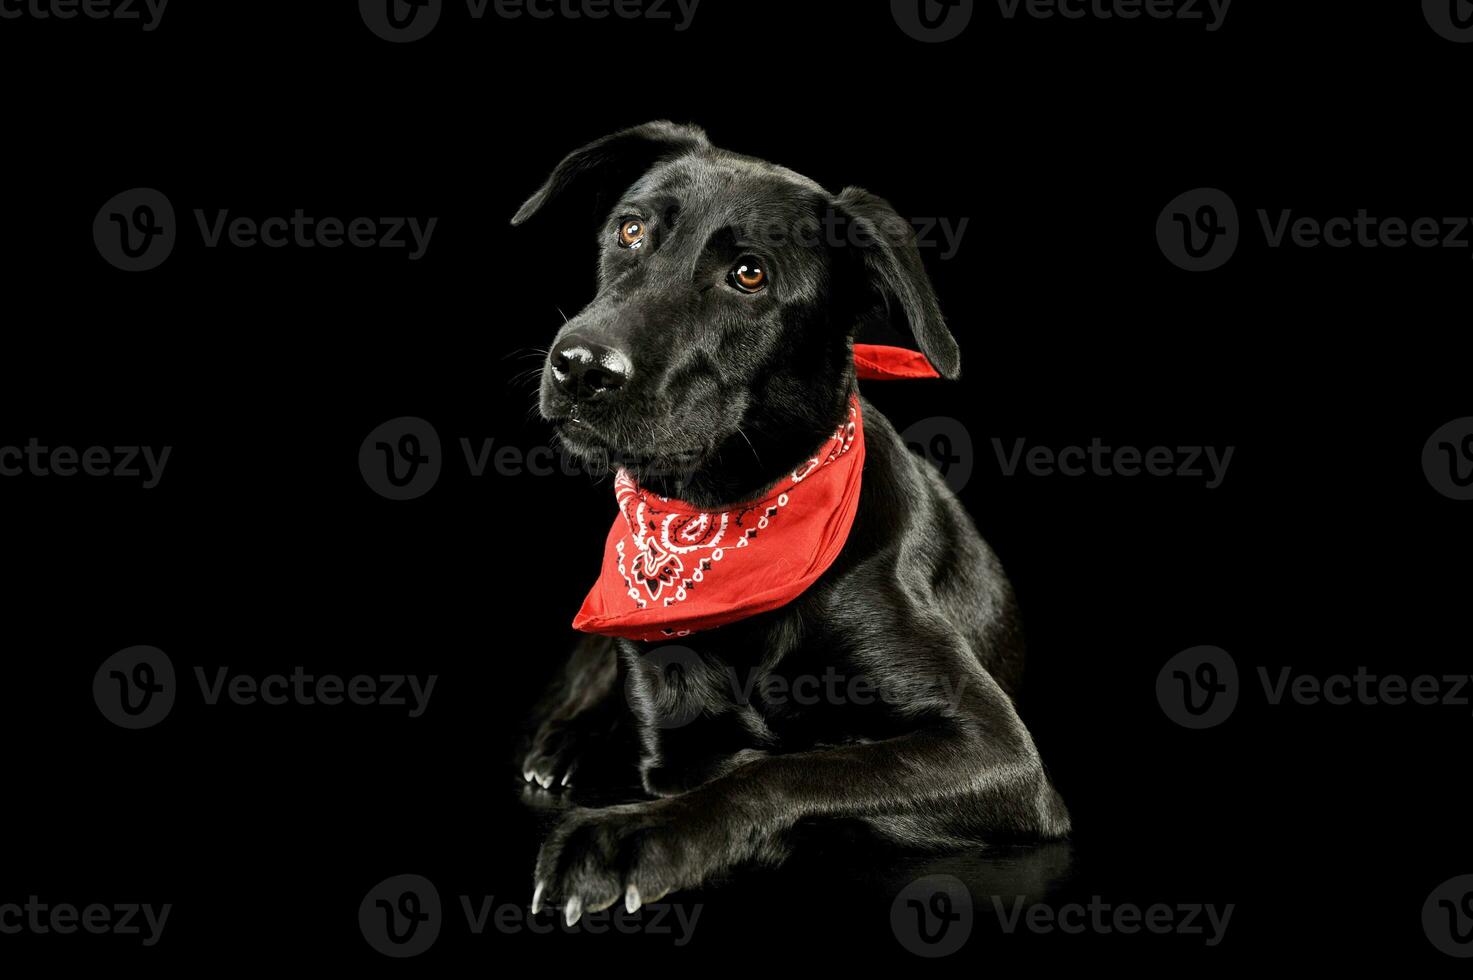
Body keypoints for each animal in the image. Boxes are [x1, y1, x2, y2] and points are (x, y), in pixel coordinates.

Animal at [512, 120, 1066, 919]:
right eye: (629, 230)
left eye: (750, 275)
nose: (581, 366)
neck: (729, 525)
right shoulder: (676, 728)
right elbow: (730, 756)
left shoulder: (999, 752)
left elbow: (793, 767)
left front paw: (629, 836)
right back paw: (565, 746)